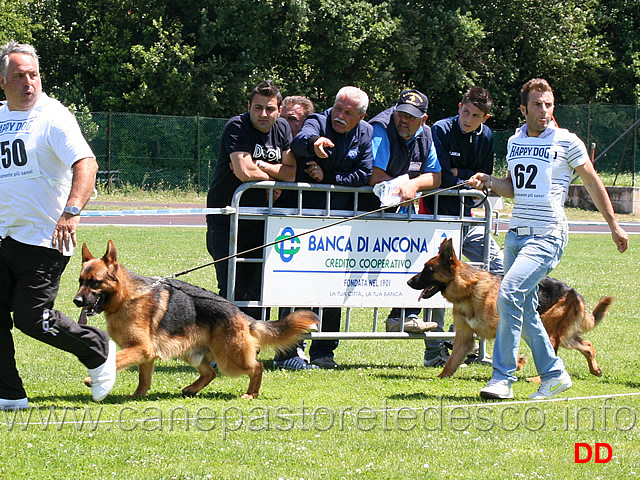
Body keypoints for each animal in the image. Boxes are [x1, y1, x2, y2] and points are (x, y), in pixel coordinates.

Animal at [74, 239, 318, 398]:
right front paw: (137, 396)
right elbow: (144, 379)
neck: (128, 296)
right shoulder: (146, 354)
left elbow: (115, 360)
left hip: (230, 359)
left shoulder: (140, 349)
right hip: (191, 353)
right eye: (80, 281)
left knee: (256, 367)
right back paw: (192, 389)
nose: (76, 301)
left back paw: (251, 394)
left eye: (95, 282)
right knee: (210, 372)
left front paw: (92, 379)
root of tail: (241, 315)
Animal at [408, 239, 612, 378]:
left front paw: (517, 364)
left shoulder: (504, 327)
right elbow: (451, 363)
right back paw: (595, 370)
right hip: (562, 335)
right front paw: (441, 378)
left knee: (552, 354)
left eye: (428, 270)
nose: (409, 282)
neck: (469, 289)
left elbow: (506, 351)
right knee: (587, 345)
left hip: (549, 331)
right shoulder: (464, 338)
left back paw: (539, 378)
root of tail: (573, 291)